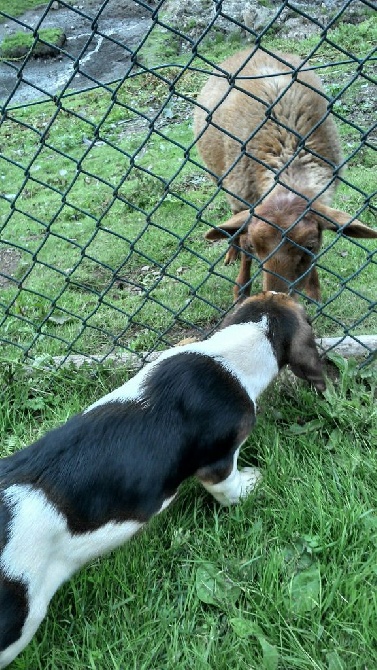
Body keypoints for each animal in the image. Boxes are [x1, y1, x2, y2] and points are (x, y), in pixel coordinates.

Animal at [194, 47, 376, 300]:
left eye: (310, 246)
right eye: (255, 247)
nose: (275, 296)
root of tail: (248, 49)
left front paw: (313, 291)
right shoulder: (243, 197)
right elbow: (243, 241)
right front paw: (241, 289)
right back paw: (232, 252)